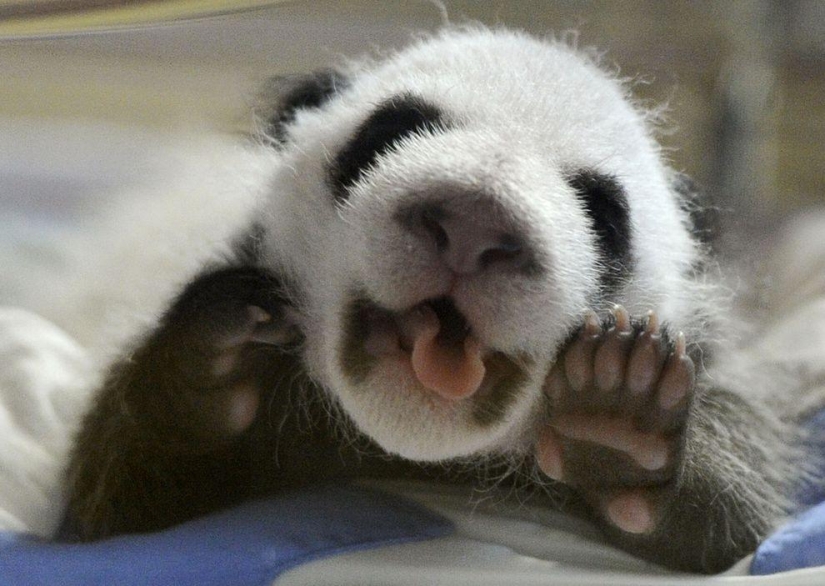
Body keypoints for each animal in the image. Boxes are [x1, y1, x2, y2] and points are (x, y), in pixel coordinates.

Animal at [63, 27, 819, 574]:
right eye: (389, 133)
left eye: (601, 214)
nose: (475, 223)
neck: (414, 451)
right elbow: (117, 509)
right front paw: (214, 361)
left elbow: (728, 526)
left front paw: (617, 412)